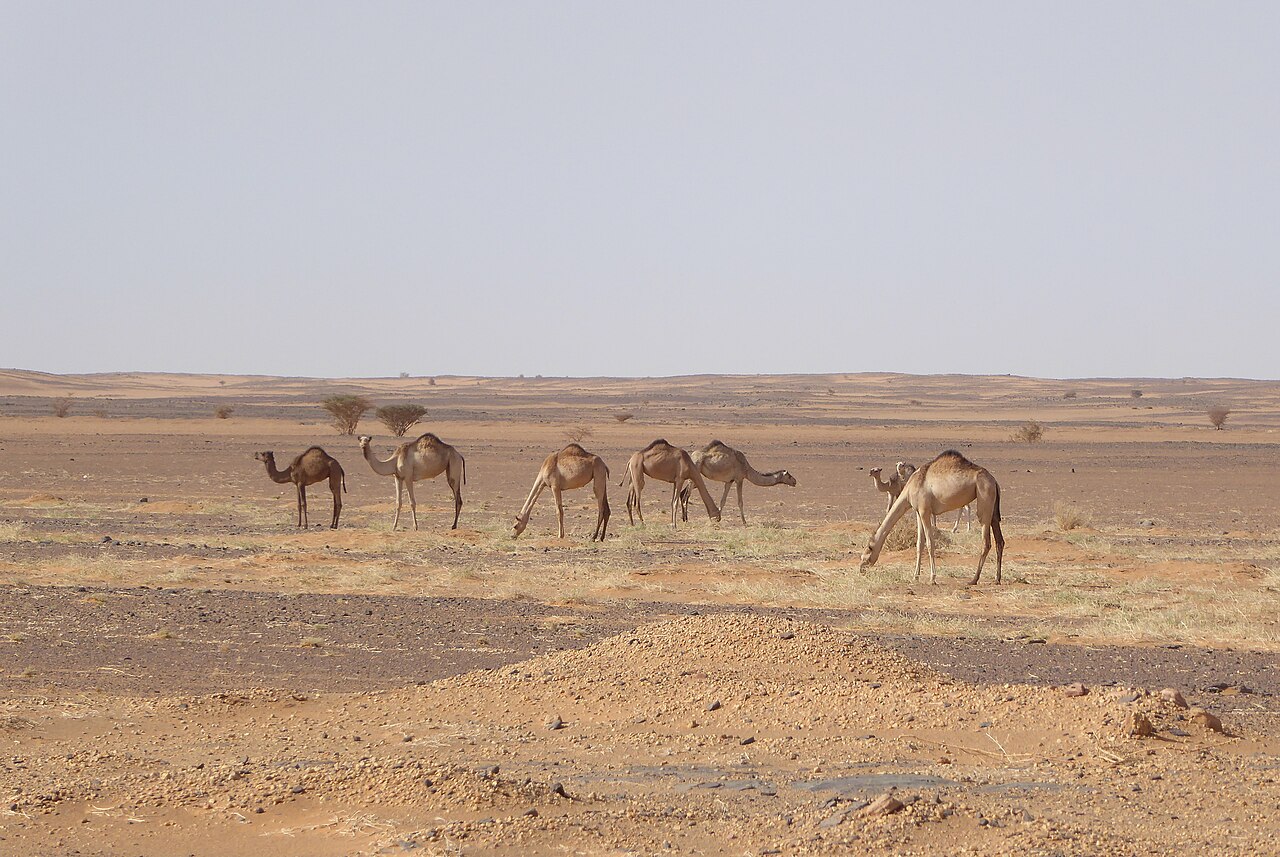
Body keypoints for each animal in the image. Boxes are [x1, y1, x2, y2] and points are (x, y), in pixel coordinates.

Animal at [860, 449, 1004, 585]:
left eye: (869, 549)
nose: (861, 568)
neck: (910, 487)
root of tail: (994, 481)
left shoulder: (925, 511)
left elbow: (930, 543)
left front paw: (932, 578)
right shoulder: (918, 512)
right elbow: (919, 544)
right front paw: (915, 576)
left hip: (984, 495)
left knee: (986, 541)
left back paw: (974, 579)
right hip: (993, 506)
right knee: (999, 540)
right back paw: (997, 579)